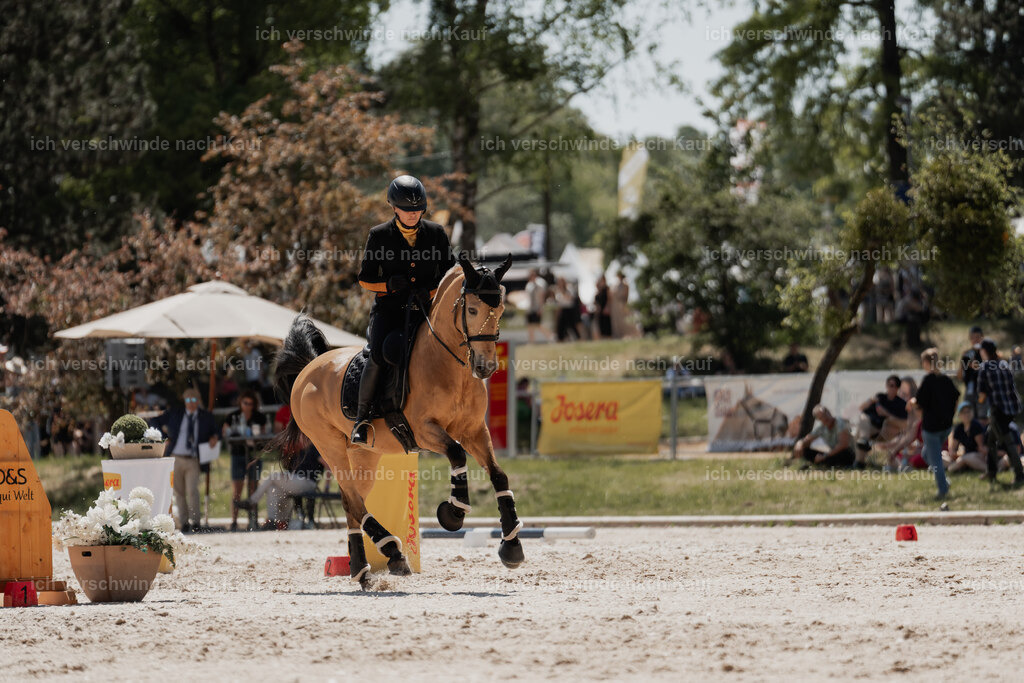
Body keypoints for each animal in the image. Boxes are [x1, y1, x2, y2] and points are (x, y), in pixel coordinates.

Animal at [271, 254, 523, 589]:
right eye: (471, 310)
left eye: (501, 310)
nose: (486, 367)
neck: (449, 366)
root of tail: (309, 368)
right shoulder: (424, 430)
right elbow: (457, 453)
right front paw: (453, 512)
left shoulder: (474, 431)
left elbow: (499, 476)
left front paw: (512, 545)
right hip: (329, 446)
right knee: (353, 501)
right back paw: (390, 551)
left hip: (364, 455)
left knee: (353, 503)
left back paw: (364, 569)